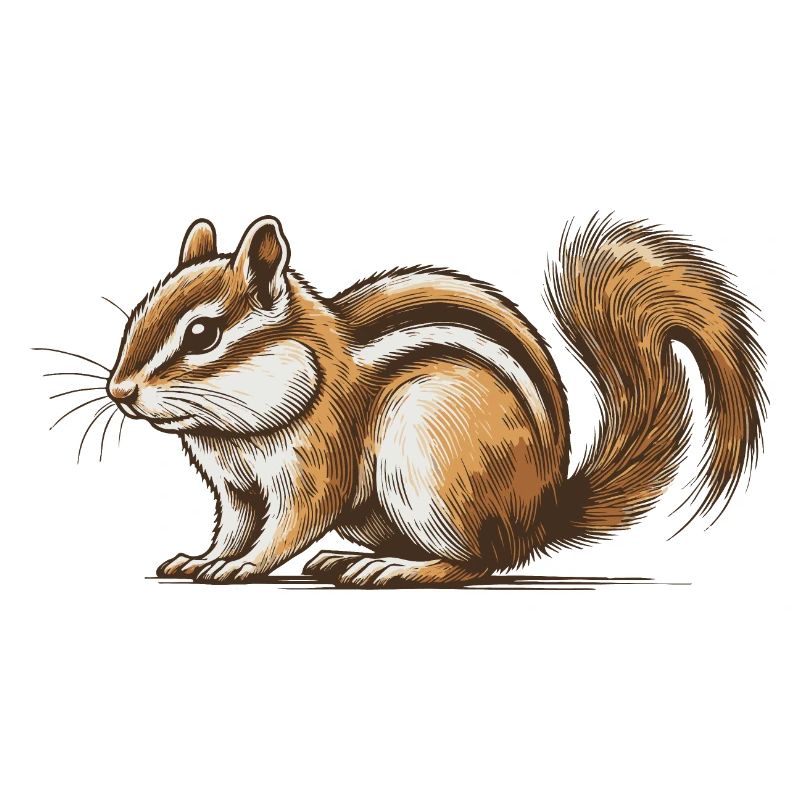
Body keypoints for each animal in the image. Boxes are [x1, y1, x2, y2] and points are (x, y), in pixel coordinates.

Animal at [105, 214, 766, 586]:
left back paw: (398, 569)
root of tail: (539, 512)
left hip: (430, 467)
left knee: (476, 562)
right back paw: (346, 562)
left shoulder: (318, 463)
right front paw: (202, 559)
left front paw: (242, 566)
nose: (119, 392)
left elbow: (292, 525)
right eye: (135, 315)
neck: (232, 431)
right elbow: (235, 526)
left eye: (201, 334)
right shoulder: (235, 489)